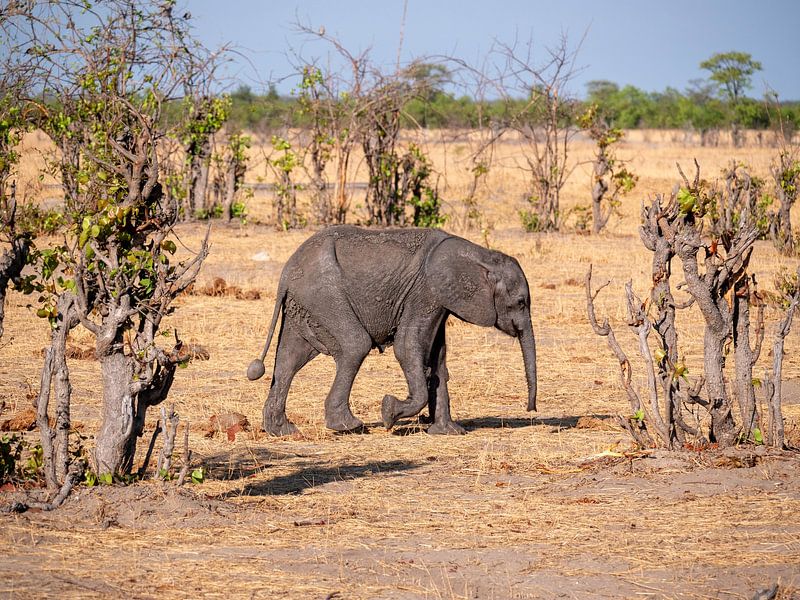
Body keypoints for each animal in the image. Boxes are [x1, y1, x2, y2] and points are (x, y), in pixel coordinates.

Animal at [247, 225, 537, 436]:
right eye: (520, 303)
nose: (530, 409)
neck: (482, 254)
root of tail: (286, 272)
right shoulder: (425, 292)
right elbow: (407, 348)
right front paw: (389, 413)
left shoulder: (440, 300)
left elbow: (438, 361)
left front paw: (449, 433)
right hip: (324, 295)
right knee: (355, 345)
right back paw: (350, 427)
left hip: (306, 303)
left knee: (289, 360)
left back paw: (282, 431)